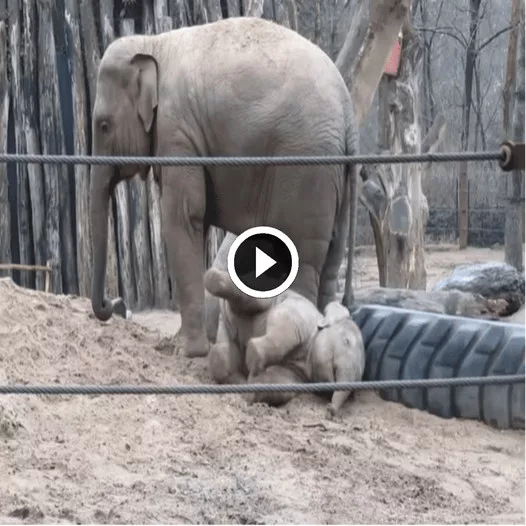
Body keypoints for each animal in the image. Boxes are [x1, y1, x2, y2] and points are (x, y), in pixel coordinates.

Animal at [92, 18, 364, 360]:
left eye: (103, 126)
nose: (115, 303)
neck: (152, 43)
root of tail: (349, 117)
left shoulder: (177, 132)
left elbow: (182, 219)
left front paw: (186, 351)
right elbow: (197, 223)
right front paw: (180, 344)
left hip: (305, 169)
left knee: (302, 258)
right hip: (335, 177)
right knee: (331, 257)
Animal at [203, 268, 368, 416]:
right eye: (346, 341)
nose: (330, 410)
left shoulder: (299, 375)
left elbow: (278, 381)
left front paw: (250, 389)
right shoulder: (300, 314)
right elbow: (284, 327)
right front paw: (254, 359)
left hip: (226, 331)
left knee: (222, 359)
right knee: (254, 296)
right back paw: (212, 277)